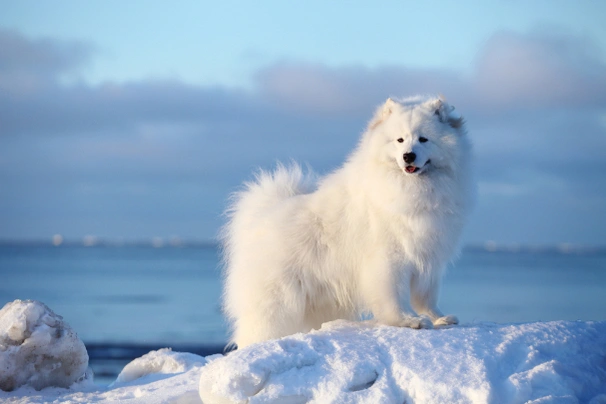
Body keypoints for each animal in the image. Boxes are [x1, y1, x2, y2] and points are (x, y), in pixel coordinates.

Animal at [223, 94, 476, 348]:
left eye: (424, 139)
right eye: (400, 140)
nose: (408, 156)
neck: (414, 188)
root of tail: (263, 213)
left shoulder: (429, 257)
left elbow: (427, 296)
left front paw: (439, 317)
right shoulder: (391, 259)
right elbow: (394, 295)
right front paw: (408, 320)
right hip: (278, 302)